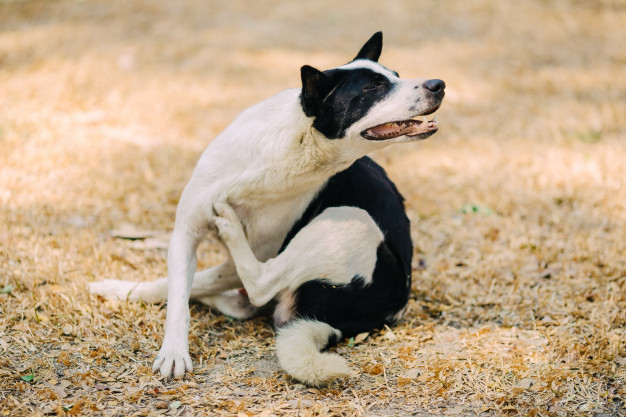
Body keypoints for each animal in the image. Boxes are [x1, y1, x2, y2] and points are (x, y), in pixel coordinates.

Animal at [91, 30, 444, 386]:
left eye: (394, 76)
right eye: (374, 87)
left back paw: (229, 228)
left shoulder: (252, 253)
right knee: (237, 297)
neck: (294, 148)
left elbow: (198, 283)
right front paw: (170, 346)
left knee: (259, 285)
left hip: (349, 219)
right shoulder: (185, 232)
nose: (439, 84)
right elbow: (178, 295)